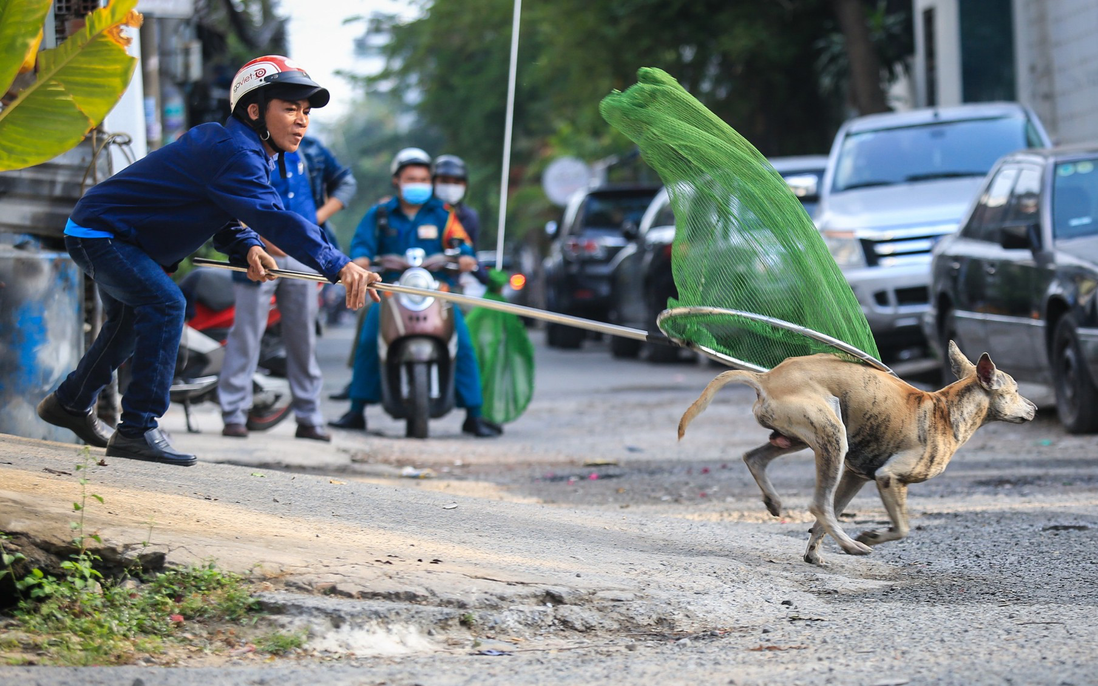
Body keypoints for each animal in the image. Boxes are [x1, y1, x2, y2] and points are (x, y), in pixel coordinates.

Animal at [676, 340, 1036, 561]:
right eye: (1016, 390)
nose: (1034, 409)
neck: (945, 410)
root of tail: (766, 379)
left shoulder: (856, 476)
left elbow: (826, 521)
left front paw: (812, 553)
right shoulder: (889, 478)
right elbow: (901, 528)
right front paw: (870, 536)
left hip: (804, 439)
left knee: (756, 459)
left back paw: (775, 502)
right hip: (832, 434)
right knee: (818, 504)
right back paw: (853, 545)